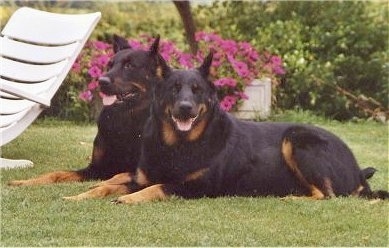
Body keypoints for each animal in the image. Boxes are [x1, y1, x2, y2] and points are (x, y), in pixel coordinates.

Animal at [9, 34, 161, 190]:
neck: (126, 118)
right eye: (109, 65)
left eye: (129, 66)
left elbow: (120, 175)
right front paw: (26, 182)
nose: (101, 81)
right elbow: (57, 173)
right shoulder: (96, 168)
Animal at [110, 51, 386, 203]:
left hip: (296, 138)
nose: (186, 108)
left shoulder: (196, 188)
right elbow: (115, 183)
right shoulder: (142, 177)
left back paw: (292, 198)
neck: (177, 144)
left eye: (197, 90)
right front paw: (100, 191)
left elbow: (157, 187)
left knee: (327, 195)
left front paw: (128, 199)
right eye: (174, 89)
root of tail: (358, 170)